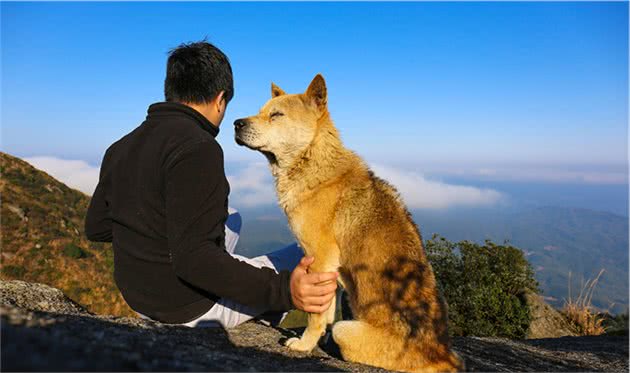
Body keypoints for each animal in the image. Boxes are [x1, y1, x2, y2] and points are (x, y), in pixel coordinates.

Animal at [235, 74, 466, 370]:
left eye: (276, 115)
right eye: (261, 111)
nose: (236, 123)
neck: (312, 161)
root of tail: (443, 357)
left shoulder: (321, 259)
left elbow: (316, 316)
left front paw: (305, 344)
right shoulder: (329, 270)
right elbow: (326, 311)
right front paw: (316, 339)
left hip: (346, 330)